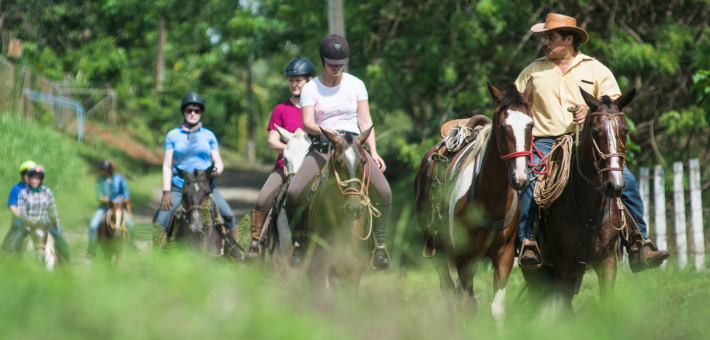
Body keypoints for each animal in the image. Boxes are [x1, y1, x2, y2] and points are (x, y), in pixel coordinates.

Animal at [414, 80, 536, 326]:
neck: (489, 200)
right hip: (437, 249)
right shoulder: (463, 256)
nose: (519, 178)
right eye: (502, 127)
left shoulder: (504, 255)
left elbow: (497, 308)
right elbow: (468, 307)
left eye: (530, 125)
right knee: (449, 291)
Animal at [524, 87, 640, 314]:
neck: (590, 210)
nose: (614, 185)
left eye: (625, 131)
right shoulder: (562, 265)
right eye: (595, 132)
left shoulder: (607, 262)